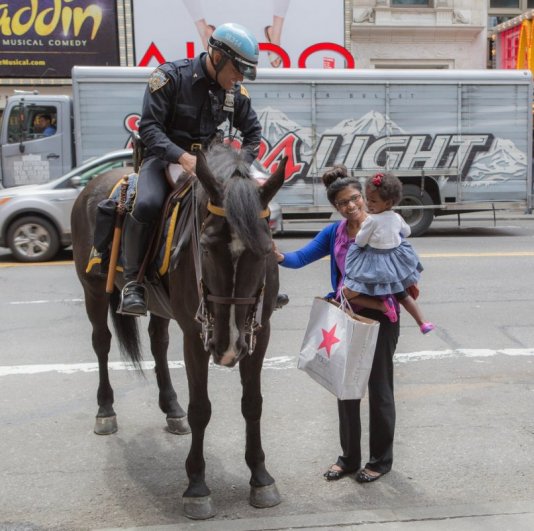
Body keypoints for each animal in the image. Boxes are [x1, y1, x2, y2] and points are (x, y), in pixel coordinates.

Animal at [72, 144, 288, 520]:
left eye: (263, 251)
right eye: (206, 246)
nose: (228, 345)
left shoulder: (259, 335)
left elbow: (253, 404)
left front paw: (260, 478)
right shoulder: (196, 337)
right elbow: (201, 407)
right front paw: (197, 487)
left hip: (161, 308)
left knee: (158, 343)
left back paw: (172, 409)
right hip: (94, 291)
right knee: (101, 343)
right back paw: (105, 411)